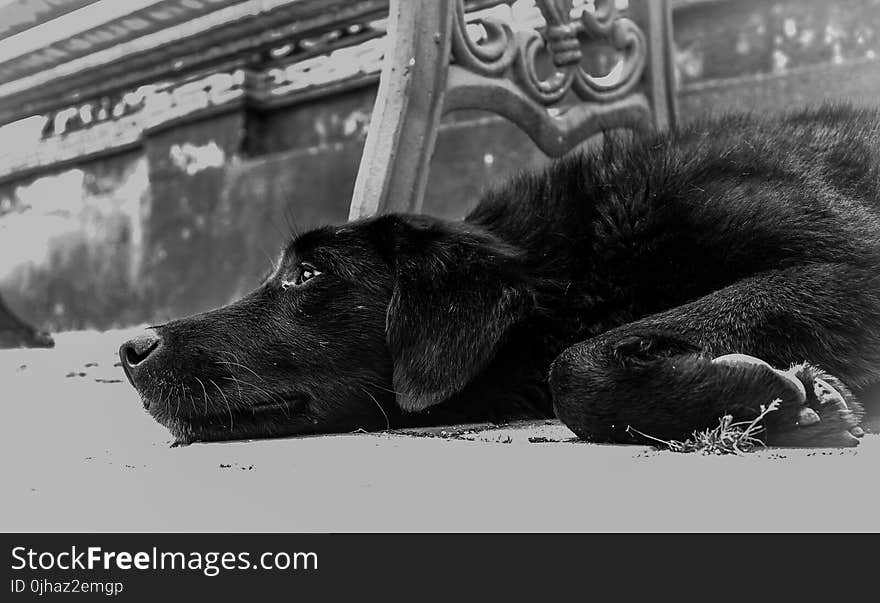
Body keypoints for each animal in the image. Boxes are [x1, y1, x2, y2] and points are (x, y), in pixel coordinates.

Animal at [118, 105, 880, 448]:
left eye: (306, 273)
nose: (129, 348)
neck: (577, 254)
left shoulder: (858, 266)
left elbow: (573, 367)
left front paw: (773, 398)